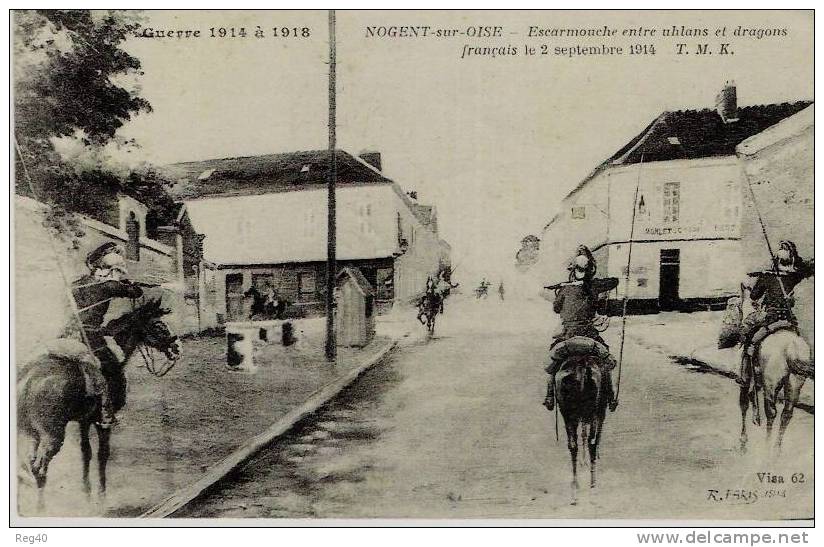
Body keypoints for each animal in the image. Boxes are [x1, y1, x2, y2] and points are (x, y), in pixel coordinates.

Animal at [16, 300, 180, 510]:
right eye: (158, 325)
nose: (176, 347)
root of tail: (28, 381)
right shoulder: (102, 423)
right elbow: (102, 454)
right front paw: (101, 497)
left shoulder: (84, 420)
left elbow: (86, 452)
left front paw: (86, 492)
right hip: (52, 436)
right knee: (39, 468)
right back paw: (41, 508)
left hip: (30, 433)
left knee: (28, 464)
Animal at [552, 356, 612, 506]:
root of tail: (582, 367)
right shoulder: (600, 412)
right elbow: (595, 437)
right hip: (595, 410)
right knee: (592, 442)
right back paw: (593, 488)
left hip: (567, 413)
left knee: (573, 445)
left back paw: (574, 492)